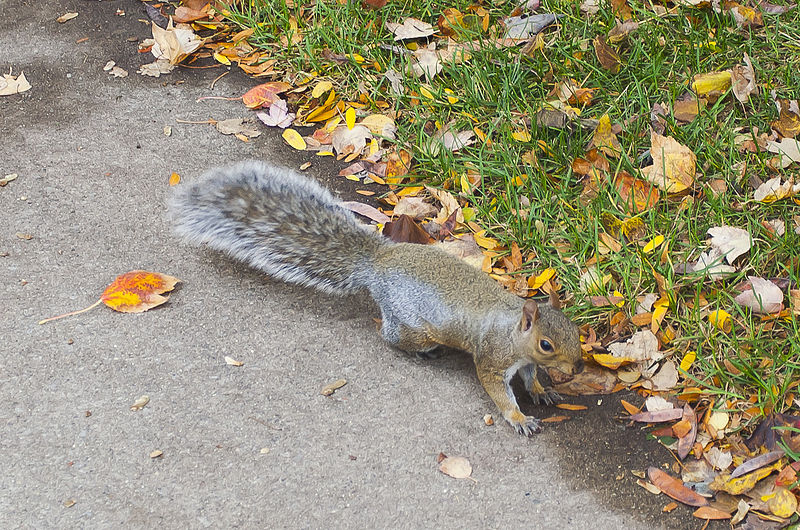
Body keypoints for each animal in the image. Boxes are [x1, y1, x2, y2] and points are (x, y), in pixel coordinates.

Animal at [170, 161, 580, 434]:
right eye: (546, 344)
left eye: (574, 332)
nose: (576, 368)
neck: (513, 328)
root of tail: (377, 264)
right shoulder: (492, 358)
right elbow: (498, 391)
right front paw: (519, 418)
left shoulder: (520, 361)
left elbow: (529, 376)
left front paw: (541, 390)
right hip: (412, 327)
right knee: (390, 336)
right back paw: (421, 351)